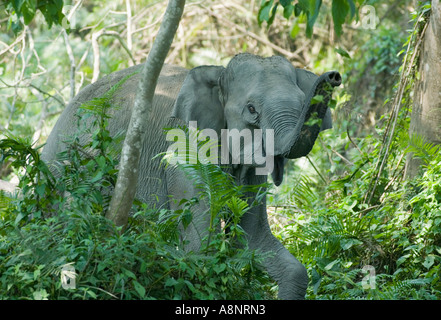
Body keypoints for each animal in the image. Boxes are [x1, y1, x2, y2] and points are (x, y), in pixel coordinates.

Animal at [41, 53, 340, 300]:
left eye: (303, 105)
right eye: (252, 109)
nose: (334, 76)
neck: (216, 73)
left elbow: (254, 242)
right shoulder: (183, 154)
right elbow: (201, 251)